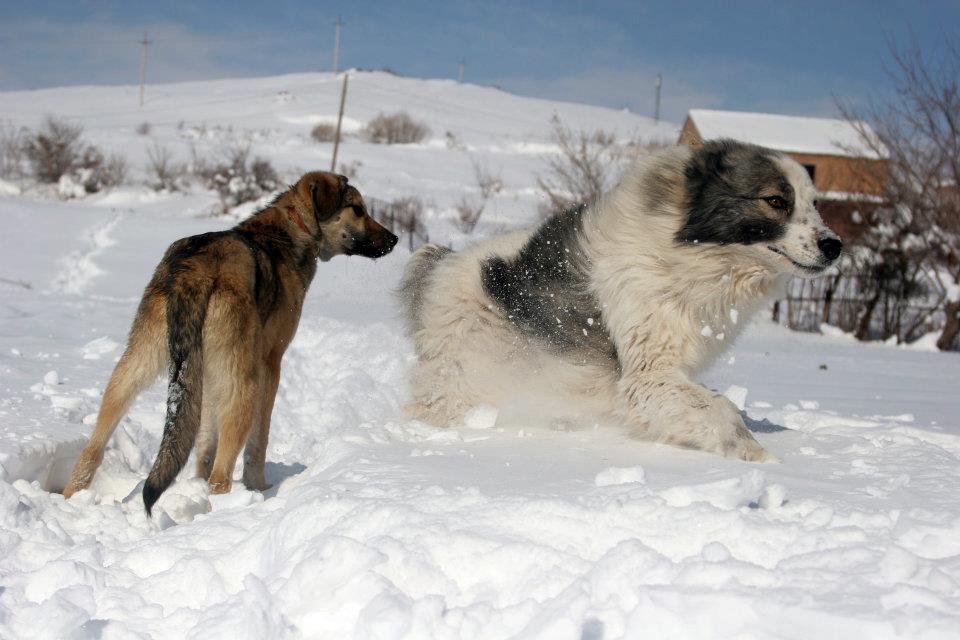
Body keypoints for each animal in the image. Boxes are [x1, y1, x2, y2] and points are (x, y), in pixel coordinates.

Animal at [62, 172, 398, 512]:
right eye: (358, 209)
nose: (395, 239)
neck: (294, 227)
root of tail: (196, 271)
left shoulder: (209, 374)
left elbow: (205, 441)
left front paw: (196, 481)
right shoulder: (270, 364)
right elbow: (258, 440)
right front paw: (259, 487)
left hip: (136, 364)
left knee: (93, 448)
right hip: (243, 384)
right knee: (221, 475)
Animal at [398, 140, 840, 460]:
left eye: (814, 203)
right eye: (776, 201)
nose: (835, 246)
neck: (684, 255)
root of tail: (438, 261)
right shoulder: (648, 374)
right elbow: (722, 409)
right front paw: (762, 459)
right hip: (471, 371)